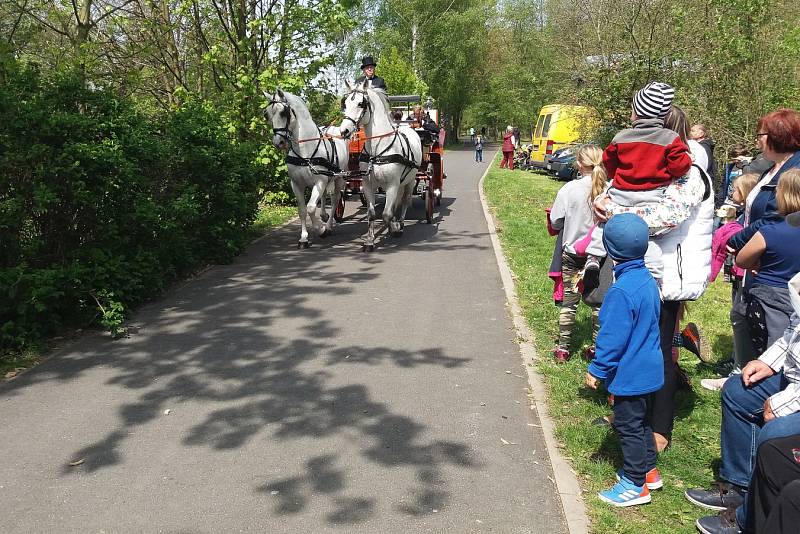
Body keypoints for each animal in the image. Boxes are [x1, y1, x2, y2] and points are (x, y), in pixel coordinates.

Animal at [266, 90, 346, 249]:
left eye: (284, 112)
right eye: (267, 114)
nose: (279, 142)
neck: (304, 151)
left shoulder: (320, 181)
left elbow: (310, 208)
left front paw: (321, 230)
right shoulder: (296, 184)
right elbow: (302, 210)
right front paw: (303, 238)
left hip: (338, 178)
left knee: (335, 200)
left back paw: (328, 226)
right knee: (324, 196)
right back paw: (324, 216)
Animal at [338, 82, 424, 253]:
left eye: (361, 103)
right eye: (345, 103)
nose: (344, 131)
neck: (377, 149)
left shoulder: (392, 185)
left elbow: (386, 214)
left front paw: (394, 229)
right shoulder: (368, 184)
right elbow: (372, 214)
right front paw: (369, 241)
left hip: (410, 180)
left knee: (405, 201)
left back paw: (401, 224)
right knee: (397, 202)